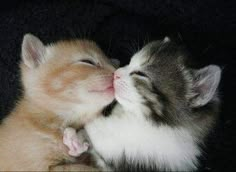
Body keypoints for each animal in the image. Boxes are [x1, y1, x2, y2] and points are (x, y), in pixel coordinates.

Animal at [65, 37, 220, 171]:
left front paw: (77, 139)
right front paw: (78, 140)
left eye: (141, 74)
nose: (116, 73)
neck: (137, 118)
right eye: (129, 62)